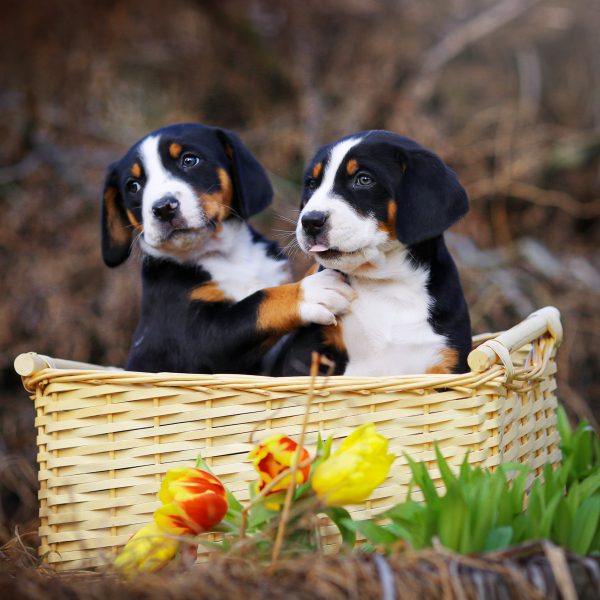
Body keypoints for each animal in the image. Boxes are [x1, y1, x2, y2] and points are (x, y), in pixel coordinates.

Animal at [100, 123, 350, 372]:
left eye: (189, 160)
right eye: (133, 186)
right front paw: (307, 291)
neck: (226, 253)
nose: (163, 208)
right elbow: (256, 304)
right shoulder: (194, 336)